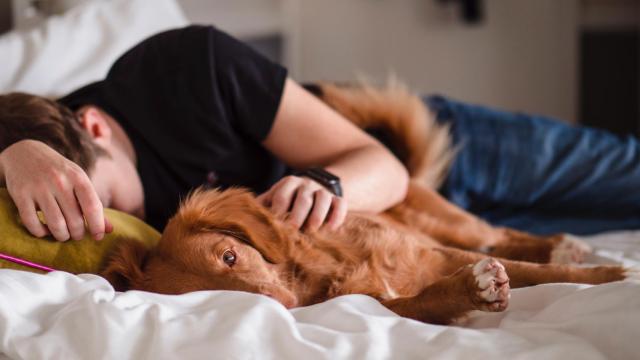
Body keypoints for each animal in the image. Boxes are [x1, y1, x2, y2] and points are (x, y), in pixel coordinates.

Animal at [101, 82, 636, 326]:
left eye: (230, 256)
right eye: (214, 297)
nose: (284, 307)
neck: (322, 271)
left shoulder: (434, 251)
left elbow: (541, 273)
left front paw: (613, 275)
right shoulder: (381, 301)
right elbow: (426, 299)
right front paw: (472, 290)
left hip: (450, 223)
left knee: (501, 234)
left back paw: (563, 245)